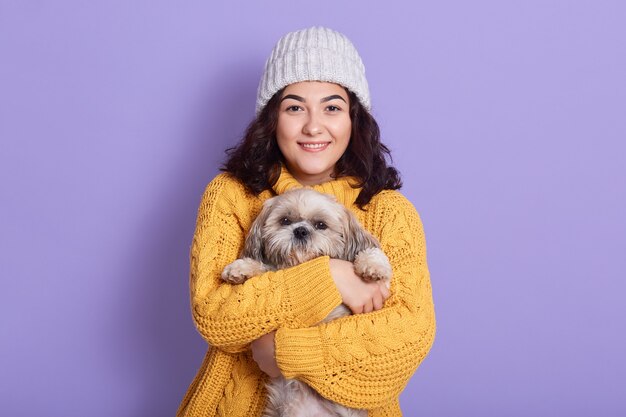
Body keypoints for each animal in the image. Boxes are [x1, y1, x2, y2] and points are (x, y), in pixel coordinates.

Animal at [222, 188, 392, 416]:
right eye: (285, 221)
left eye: (320, 224)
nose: (301, 230)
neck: (301, 264)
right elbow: (261, 267)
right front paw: (240, 268)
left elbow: (372, 253)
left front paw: (373, 266)